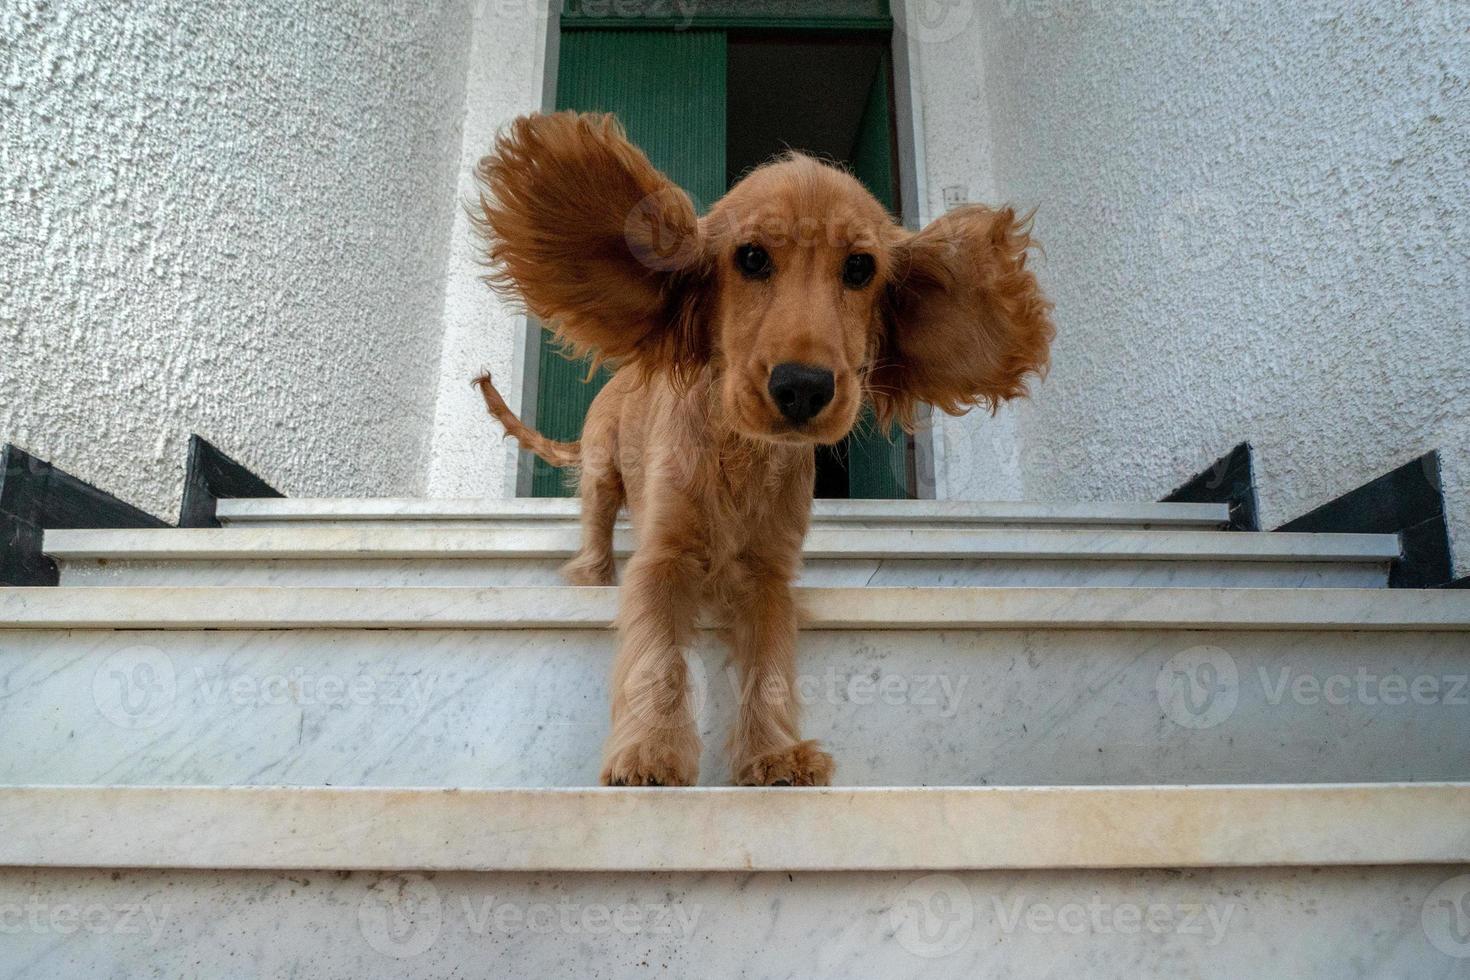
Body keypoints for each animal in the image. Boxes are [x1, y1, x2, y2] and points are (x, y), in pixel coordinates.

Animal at [470, 113, 1058, 787]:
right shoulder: (662, 556)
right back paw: (591, 578)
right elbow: (658, 655)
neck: (745, 455)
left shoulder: (770, 573)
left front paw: (774, 754)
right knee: (594, 528)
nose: (802, 387)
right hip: (601, 469)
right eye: (751, 258)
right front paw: (649, 752)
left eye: (860, 268)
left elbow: (771, 662)